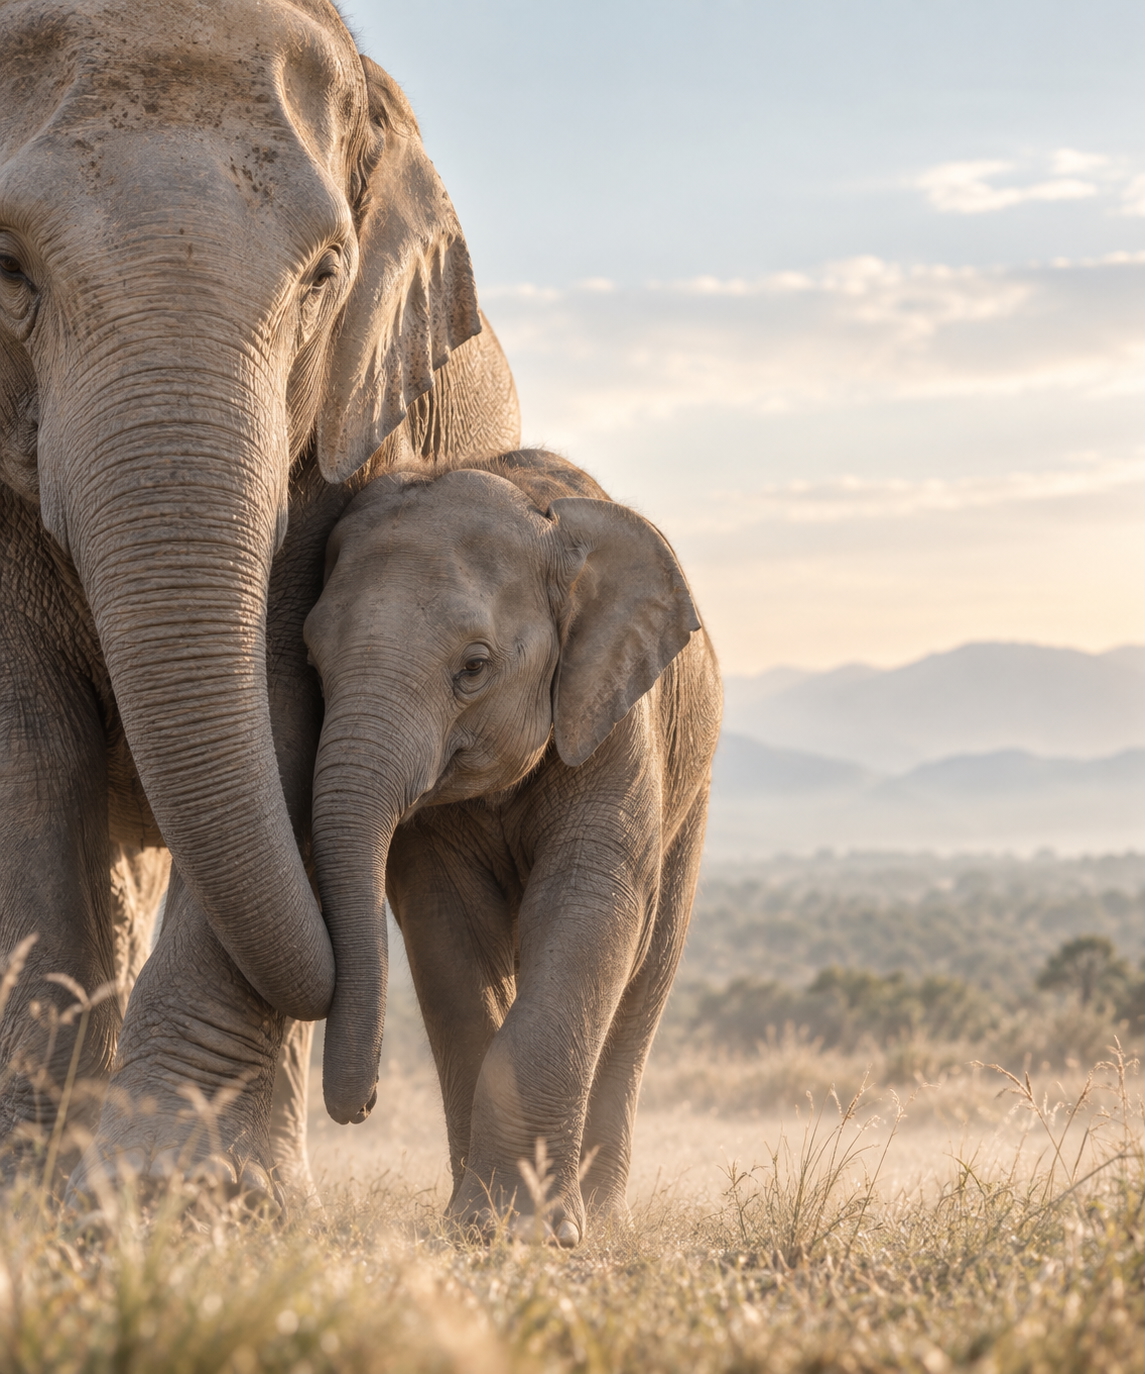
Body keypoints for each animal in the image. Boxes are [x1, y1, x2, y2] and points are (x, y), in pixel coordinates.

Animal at [0, 0, 519, 1203]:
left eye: (326, 273)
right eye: (7, 267)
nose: (360, 1101)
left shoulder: (350, 439)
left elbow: (285, 711)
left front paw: (185, 1197)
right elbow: (24, 750)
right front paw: (36, 1192)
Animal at [303, 448, 722, 1245]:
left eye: (473, 667)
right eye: (312, 660)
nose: (359, 1108)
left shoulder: (615, 719)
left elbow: (589, 908)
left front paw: (532, 1234)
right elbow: (448, 935)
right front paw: (483, 1228)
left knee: (648, 973)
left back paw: (600, 1216)